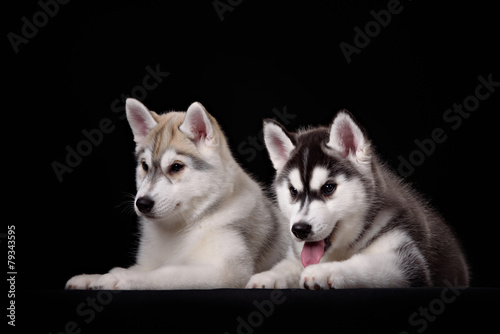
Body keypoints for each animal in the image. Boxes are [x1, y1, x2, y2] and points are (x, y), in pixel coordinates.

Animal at [246, 111, 468, 288]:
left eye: (328, 188)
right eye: (293, 191)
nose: (299, 230)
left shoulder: (406, 258)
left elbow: (365, 264)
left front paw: (324, 271)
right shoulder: (297, 254)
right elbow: (287, 265)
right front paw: (268, 276)